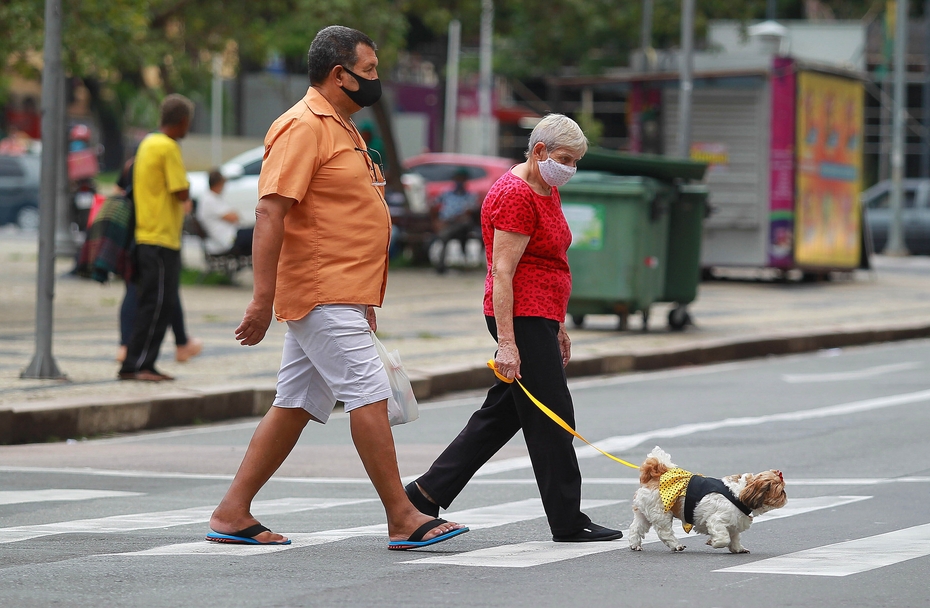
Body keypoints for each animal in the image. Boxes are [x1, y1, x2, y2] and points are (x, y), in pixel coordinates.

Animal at [628, 444, 788, 552]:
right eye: (780, 491)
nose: (786, 496)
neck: (739, 494)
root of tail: (655, 476)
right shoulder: (717, 520)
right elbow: (724, 538)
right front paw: (714, 542)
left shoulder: (734, 523)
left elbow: (734, 537)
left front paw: (738, 548)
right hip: (661, 513)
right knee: (664, 532)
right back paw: (676, 545)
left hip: (644, 513)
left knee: (636, 528)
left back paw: (635, 545)